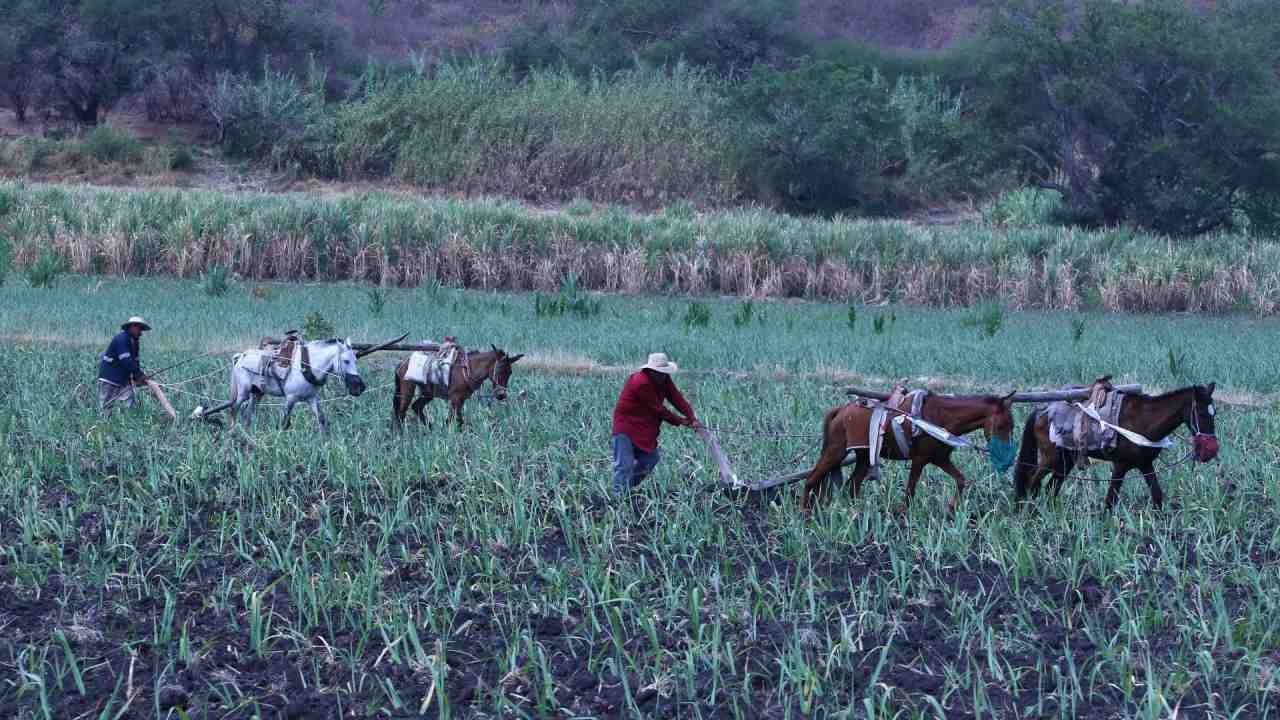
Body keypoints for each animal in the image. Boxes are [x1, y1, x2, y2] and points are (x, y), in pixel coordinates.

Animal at [192, 333, 394, 427]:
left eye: (355, 359)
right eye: (345, 361)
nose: (360, 387)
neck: (309, 365)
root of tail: (240, 356)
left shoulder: (312, 399)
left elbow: (322, 420)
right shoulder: (290, 399)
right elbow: (284, 422)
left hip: (257, 393)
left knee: (248, 414)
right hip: (242, 392)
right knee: (234, 410)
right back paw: (232, 433)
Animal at [394, 345, 524, 427]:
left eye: (510, 373)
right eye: (500, 370)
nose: (501, 395)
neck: (468, 369)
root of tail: (403, 363)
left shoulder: (461, 400)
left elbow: (456, 419)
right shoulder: (455, 399)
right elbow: (456, 420)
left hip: (428, 393)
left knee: (416, 407)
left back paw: (430, 428)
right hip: (407, 390)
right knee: (401, 412)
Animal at [798, 389, 1018, 512]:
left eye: (1012, 426)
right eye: (1001, 426)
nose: (1006, 460)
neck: (941, 418)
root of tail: (841, 411)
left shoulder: (940, 459)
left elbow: (961, 480)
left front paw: (950, 509)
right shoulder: (920, 460)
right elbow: (910, 492)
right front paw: (902, 516)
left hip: (863, 457)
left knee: (852, 486)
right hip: (835, 451)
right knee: (812, 479)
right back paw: (804, 514)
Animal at [1008, 384, 1218, 507]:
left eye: (1214, 413)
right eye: (1202, 413)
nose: (1211, 450)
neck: (1144, 421)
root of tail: (1042, 410)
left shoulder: (1145, 465)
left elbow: (1157, 496)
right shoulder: (1121, 465)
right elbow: (1110, 501)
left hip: (1065, 460)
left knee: (1051, 487)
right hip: (1050, 458)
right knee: (1032, 482)